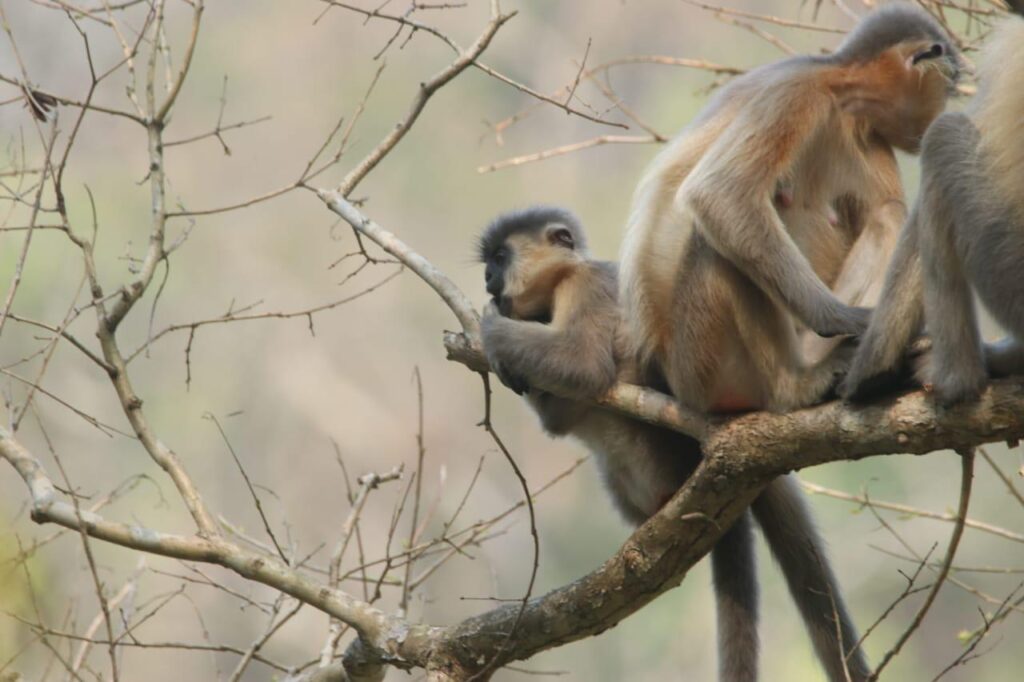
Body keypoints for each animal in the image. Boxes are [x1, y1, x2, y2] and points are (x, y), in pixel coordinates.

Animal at [478, 206, 866, 682]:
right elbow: (559, 418)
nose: (488, 277)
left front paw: (489, 326)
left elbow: (584, 367)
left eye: (500, 256)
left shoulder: (586, 286)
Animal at [619, 2, 960, 417]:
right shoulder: (798, 91)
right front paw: (841, 318)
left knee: (887, 213)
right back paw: (793, 386)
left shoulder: (866, 134)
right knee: (713, 242)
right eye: (946, 87)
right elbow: (719, 193)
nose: (940, 109)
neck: (839, 89)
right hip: (704, 363)